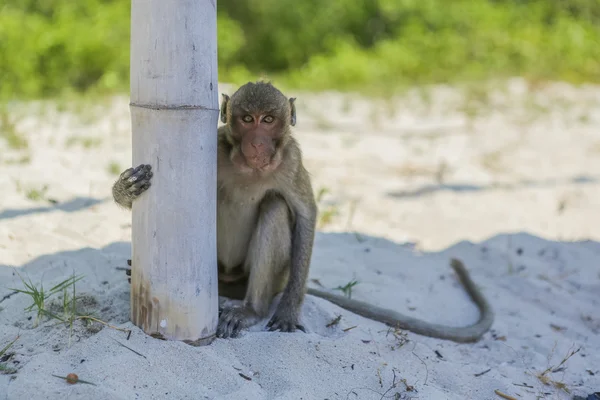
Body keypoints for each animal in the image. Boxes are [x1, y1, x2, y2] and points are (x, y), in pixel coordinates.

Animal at [112, 81, 492, 344]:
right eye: (247, 119)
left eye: (268, 120)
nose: (256, 144)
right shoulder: (218, 145)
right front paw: (126, 188)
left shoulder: (291, 159)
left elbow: (306, 214)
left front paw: (290, 308)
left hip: (271, 276)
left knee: (275, 208)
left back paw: (251, 310)